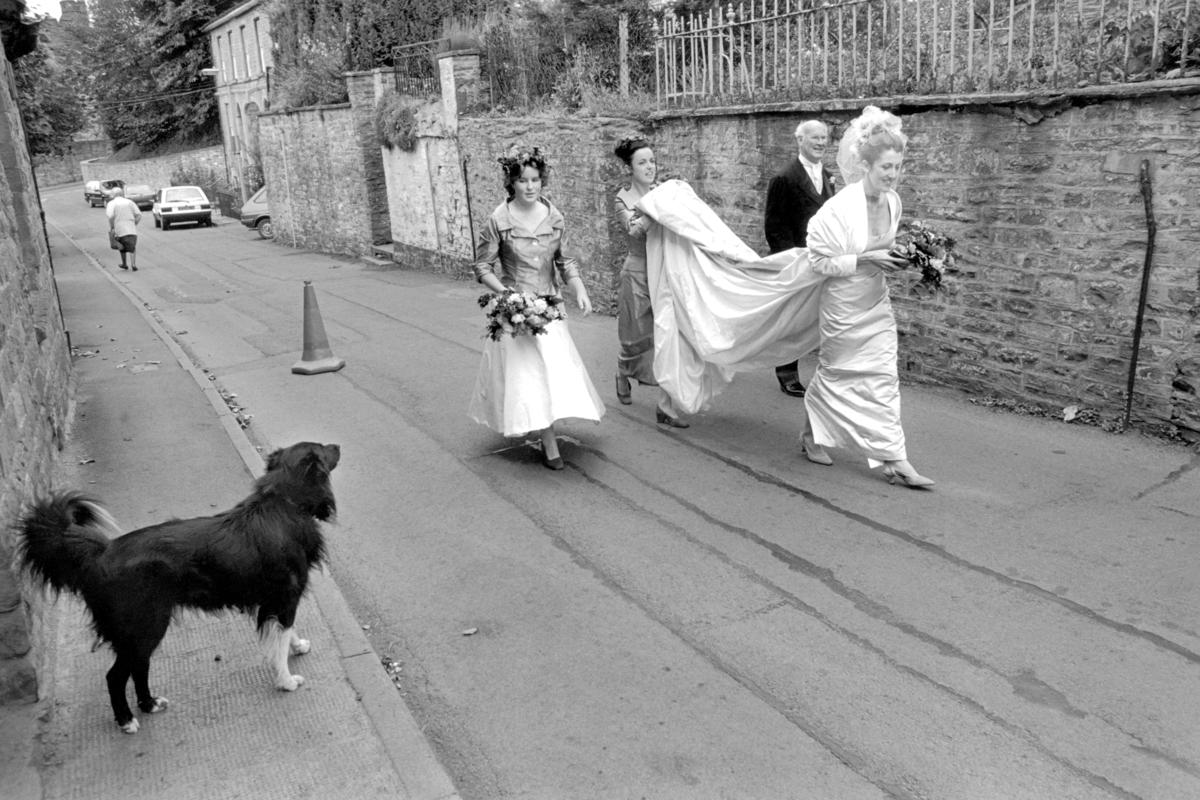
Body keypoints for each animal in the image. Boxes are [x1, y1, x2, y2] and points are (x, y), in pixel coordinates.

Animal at [16, 441, 340, 734]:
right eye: (323, 449)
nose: (337, 445)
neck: (284, 501)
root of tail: (101, 553)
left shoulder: (276, 600)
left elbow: (285, 632)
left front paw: (297, 647)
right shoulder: (286, 595)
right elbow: (281, 637)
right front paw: (287, 680)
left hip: (144, 630)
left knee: (139, 667)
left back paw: (149, 704)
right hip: (145, 626)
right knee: (116, 676)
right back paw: (127, 720)